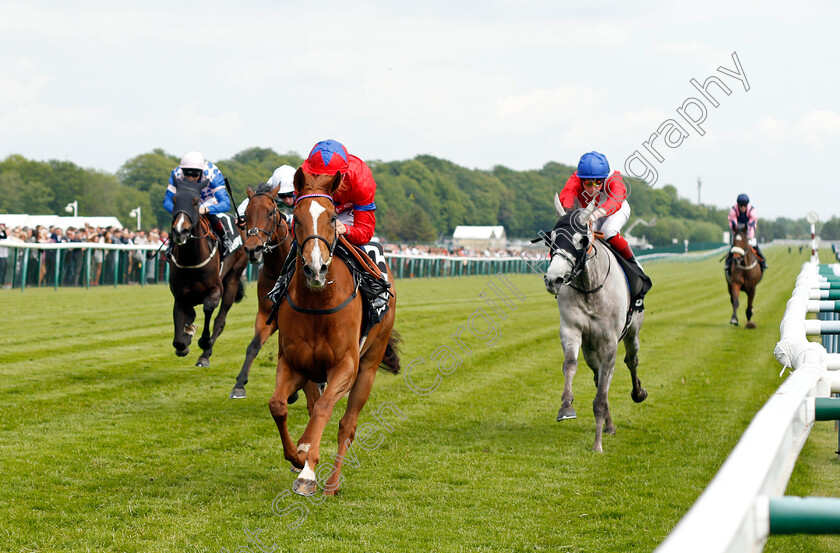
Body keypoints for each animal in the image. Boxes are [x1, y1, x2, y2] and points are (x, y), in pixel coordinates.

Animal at [270, 168, 400, 496]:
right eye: (296, 218)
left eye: (331, 218)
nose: (315, 269)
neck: (318, 301)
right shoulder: (293, 363)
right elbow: (278, 406)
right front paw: (297, 456)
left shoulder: (345, 366)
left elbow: (324, 409)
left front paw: (308, 474)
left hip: (368, 366)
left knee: (346, 424)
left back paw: (331, 482)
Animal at [540, 196, 648, 450]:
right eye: (552, 238)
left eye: (581, 240)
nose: (553, 279)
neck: (590, 286)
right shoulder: (572, 330)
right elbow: (570, 364)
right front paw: (566, 407)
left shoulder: (609, 341)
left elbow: (603, 388)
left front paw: (597, 444)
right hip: (591, 348)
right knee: (599, 376)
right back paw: (608, 424)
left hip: (632, 332)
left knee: (631, 360)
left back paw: (637, 393)